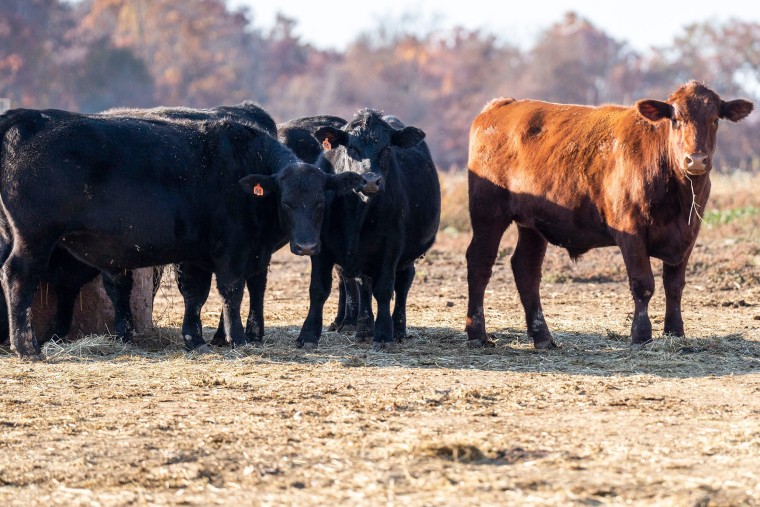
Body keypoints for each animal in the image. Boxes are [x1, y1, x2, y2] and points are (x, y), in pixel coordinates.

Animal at [0, 109, 364, 360]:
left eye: (321, 201)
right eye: (286, 202)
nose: (307, 245)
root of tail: (26, 117)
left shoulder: (197, 254)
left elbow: (196, 294)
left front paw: (195, 339)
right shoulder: (232, 250)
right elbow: (231, 291)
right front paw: (237, 339)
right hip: (35, 237)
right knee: (18, 276)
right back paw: (28, 347)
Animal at [296, 109, 440, 352]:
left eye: (387, 148)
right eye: (351, 147)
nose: (371, 180)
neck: (357, 212)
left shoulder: (391, 246)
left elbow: (384, 290)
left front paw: (383, 334)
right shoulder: (321, 247)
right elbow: (319, 289)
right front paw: (308, 334)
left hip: (404, 256)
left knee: (403, 283)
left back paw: (398, 329)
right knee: (364, 284)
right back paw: (364, 330)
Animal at [466, 81, 752, 350]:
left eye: (715, 119)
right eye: (675, 119)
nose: (696, 160)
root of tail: (502, 105)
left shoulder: (688, 235)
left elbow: (674, 286)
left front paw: (675, 332)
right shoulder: (631, 231)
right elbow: (643, 284)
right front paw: (641, 335)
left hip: (533, 225)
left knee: (526, 269)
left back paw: (543, 337)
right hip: (488, 213)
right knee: (480, 261)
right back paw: (477, 333)